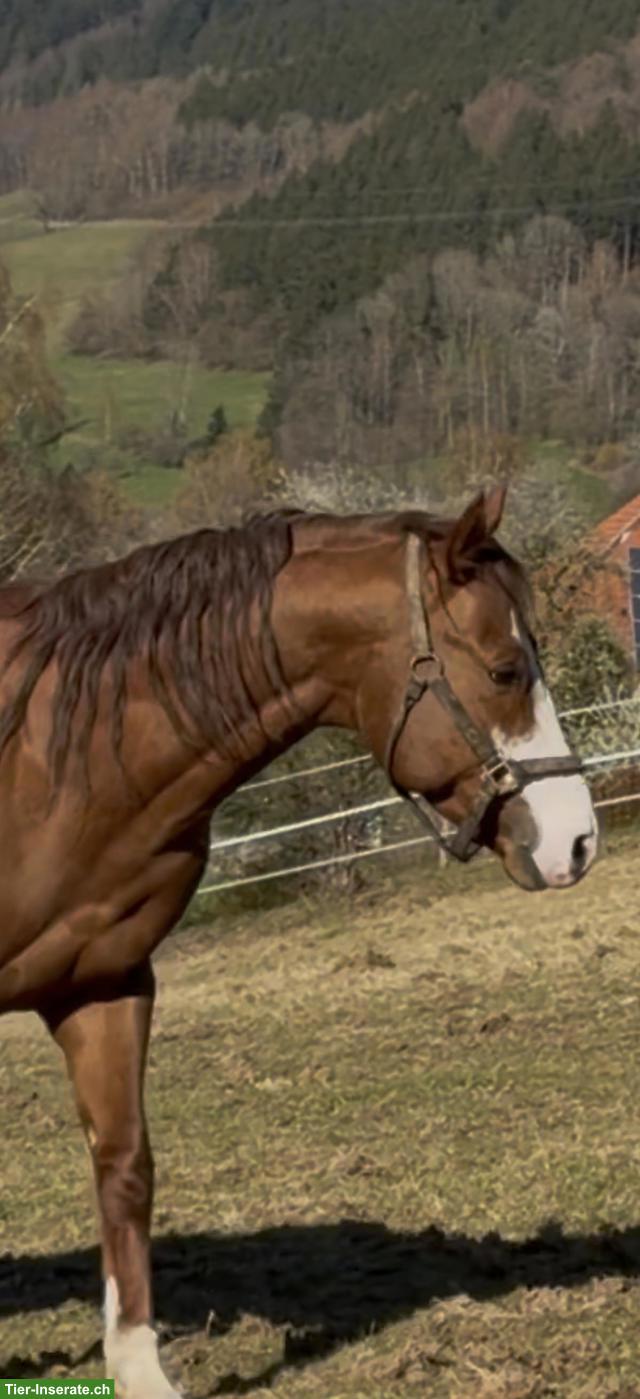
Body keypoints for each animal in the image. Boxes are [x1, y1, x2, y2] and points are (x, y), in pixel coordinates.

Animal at [0, 486, 597, 1397]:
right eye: (504, 670)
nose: (577, 840)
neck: (53, 752)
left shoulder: (101, 983)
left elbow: (125, 1166)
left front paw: (140, 1368)